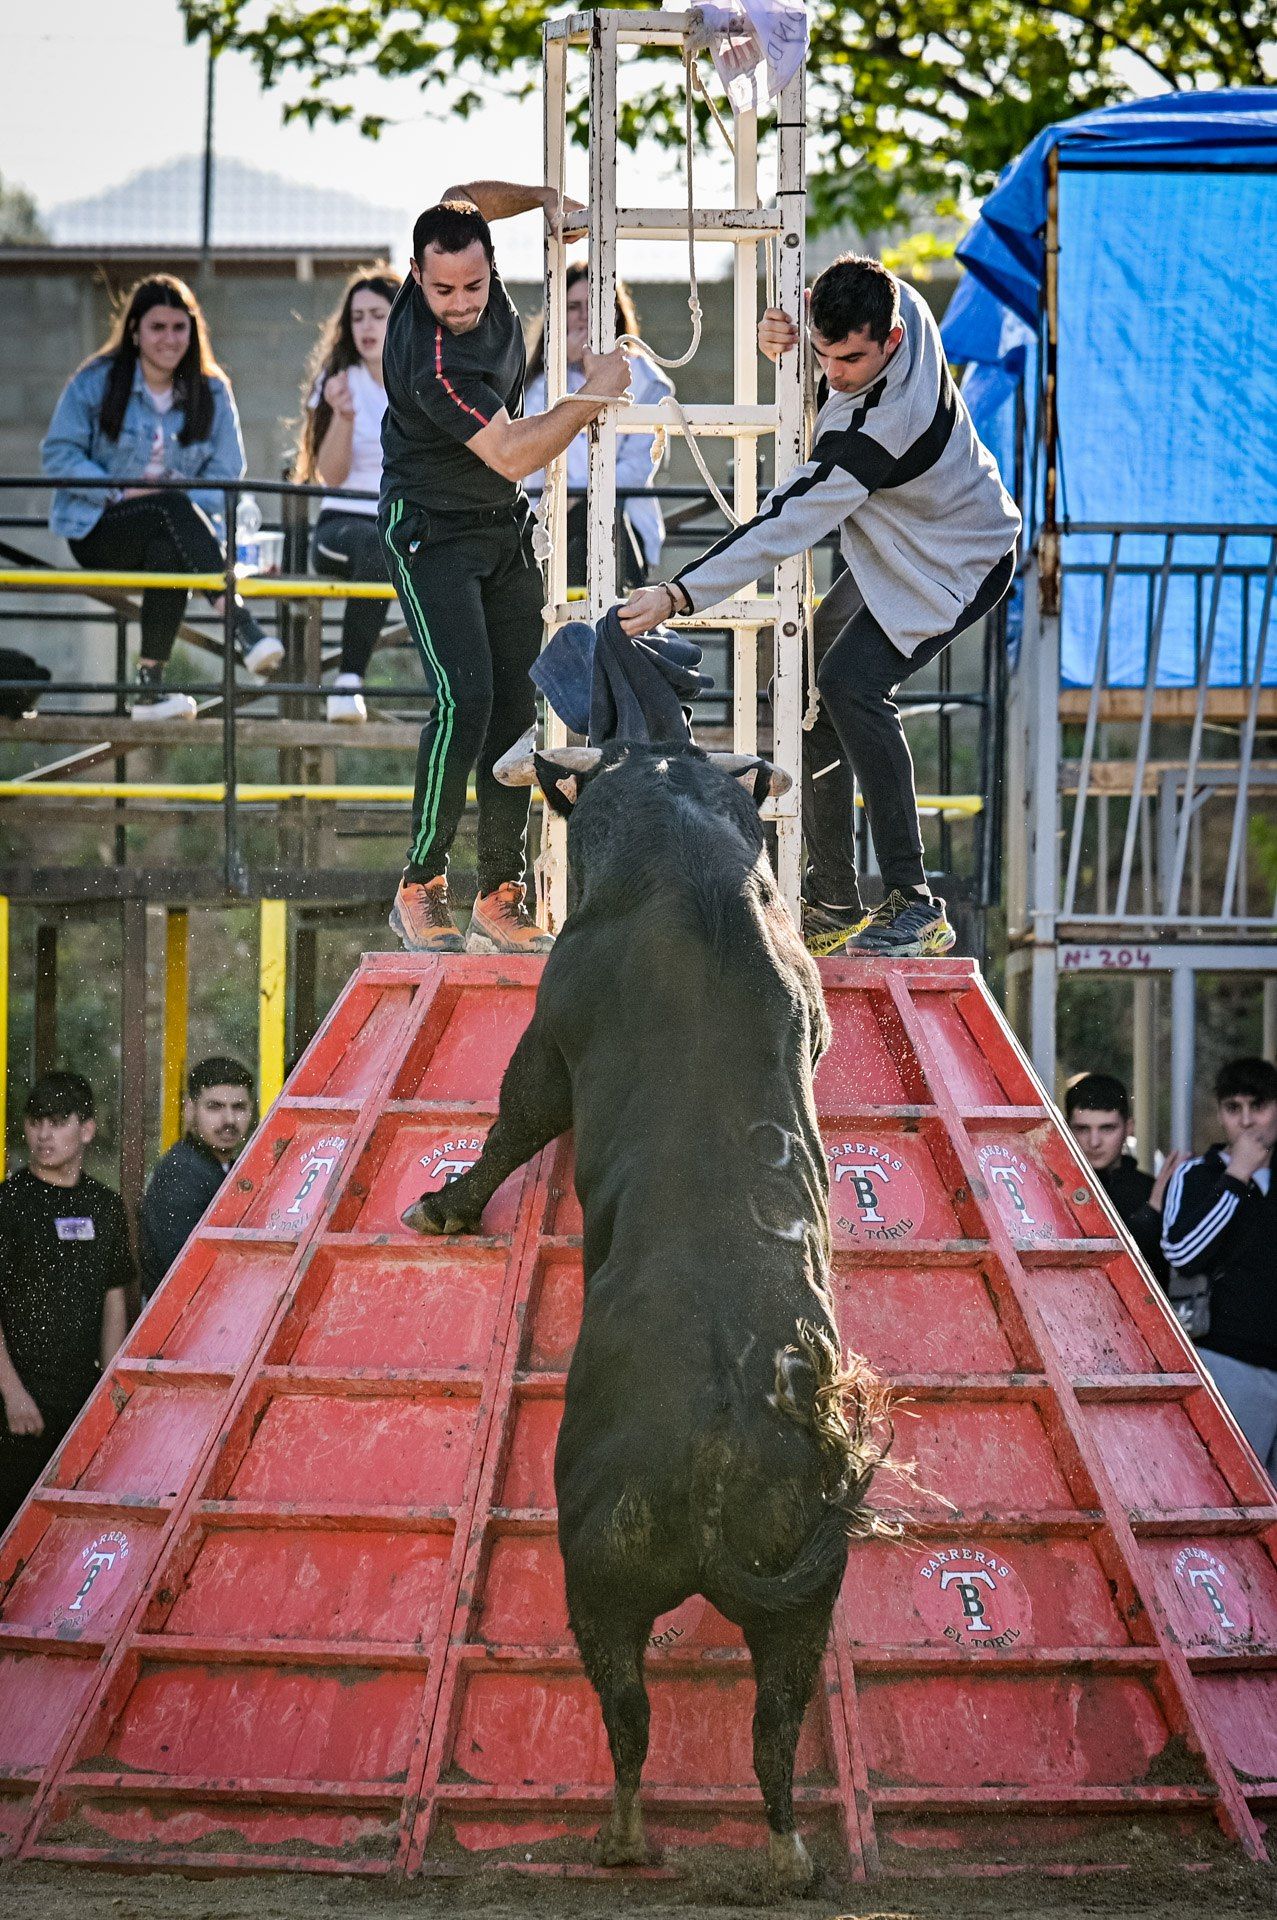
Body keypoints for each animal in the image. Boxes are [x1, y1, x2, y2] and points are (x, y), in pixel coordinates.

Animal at [409, 741, 887, 1881]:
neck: (682, 858)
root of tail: (719, 1451)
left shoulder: (549, 1038)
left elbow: (515, 1117)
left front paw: (447, 1202)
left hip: (601, 1581)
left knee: (626, 1714)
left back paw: (621, 1836)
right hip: (801, 1605)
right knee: (772, 1724)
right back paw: (786, 1854)